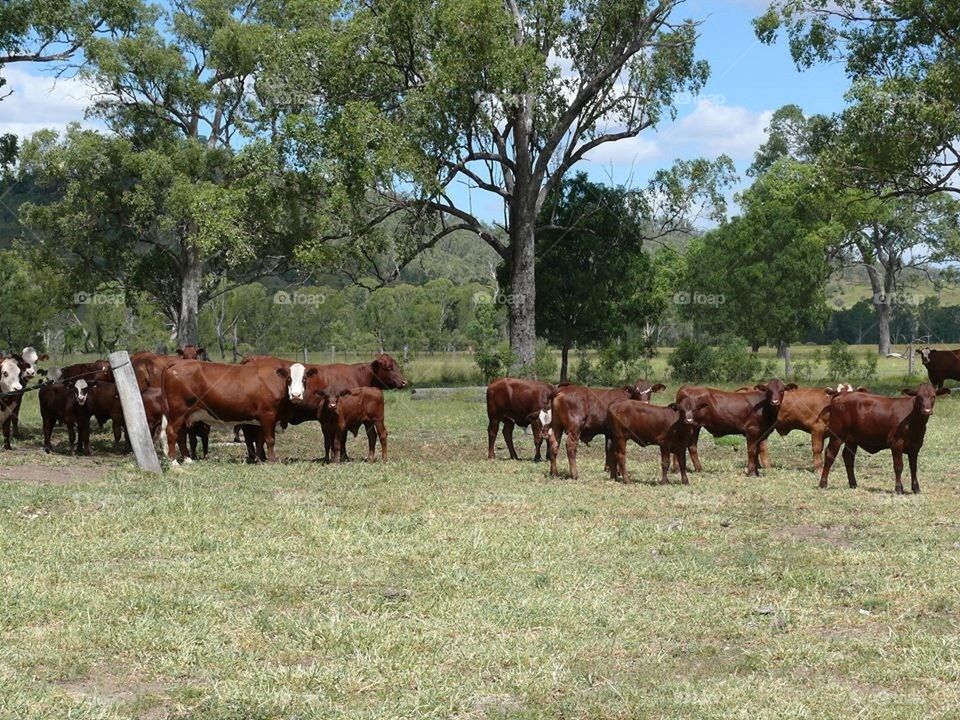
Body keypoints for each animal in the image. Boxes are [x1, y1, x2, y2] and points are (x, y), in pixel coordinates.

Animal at [161, 360, 290, 466]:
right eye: (290, 379)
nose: (294, 394)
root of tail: (178, 362)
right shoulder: (268, 414)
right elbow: (270, 440)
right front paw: (272, 460)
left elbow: (260, 440)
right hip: (178, 412)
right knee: (172, 432)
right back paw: (174, 461)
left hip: (184, 415)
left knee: (181, 435)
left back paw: (188, 459)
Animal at [540, 380, 668, 480]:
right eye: (637, 392)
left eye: (650, 392)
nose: (644, 403)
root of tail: (562, 389)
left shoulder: (609, 433)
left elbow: (609, 451)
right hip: (574, 428)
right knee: (570, 446)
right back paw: (574, 474)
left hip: (557, 426)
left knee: (554, 444)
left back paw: (554, 473)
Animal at [820, 382, 948, 496]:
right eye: (919, 397)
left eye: (933, 396)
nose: (927, 411)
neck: (914, 423)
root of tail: (841, 395)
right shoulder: (897, 444)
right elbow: (898, 466)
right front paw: (899, 488)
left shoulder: (915, 446)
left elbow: (913, 468)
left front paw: (916, 489)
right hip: (837, 435)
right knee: (830, 454)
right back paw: (823, 484)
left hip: (852, 439)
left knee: (848, 457)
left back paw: (853, 484)